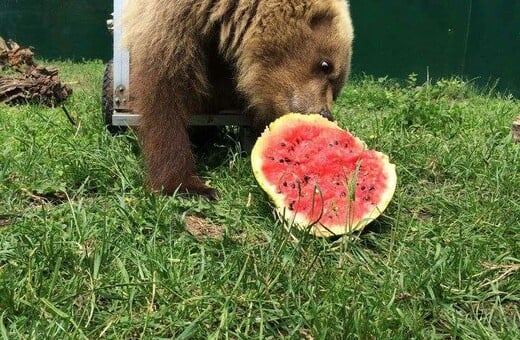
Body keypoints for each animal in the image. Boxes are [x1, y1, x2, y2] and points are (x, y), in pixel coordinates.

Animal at [124, 0, 356, 198]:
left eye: (337, 89)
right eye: (325, 65)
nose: (325, 114)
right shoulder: (174, 22)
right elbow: (165, 98)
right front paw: (189, 186)